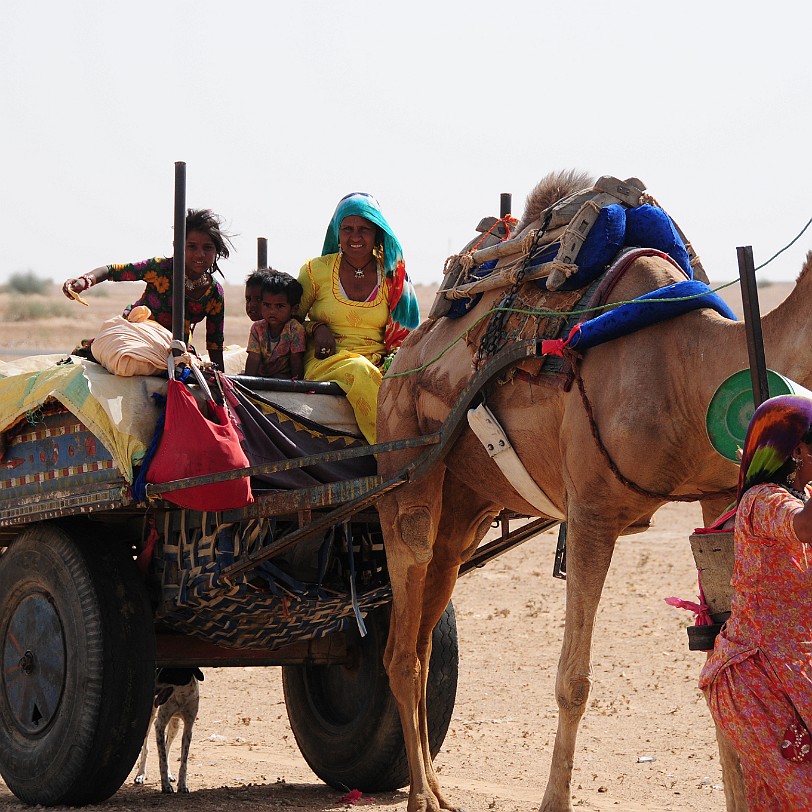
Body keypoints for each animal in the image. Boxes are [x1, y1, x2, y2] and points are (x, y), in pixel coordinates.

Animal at [376, 168, 812, 808]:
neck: (691, 361)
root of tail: (401, 353)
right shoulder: (591, 512)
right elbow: (572, 681)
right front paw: (552, 800)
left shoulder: (720, 495)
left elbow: (721, 660)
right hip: (405, 462)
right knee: (401, 644)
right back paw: (421, 797)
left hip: (466, 503)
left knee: (429, 624)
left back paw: (431, 785)